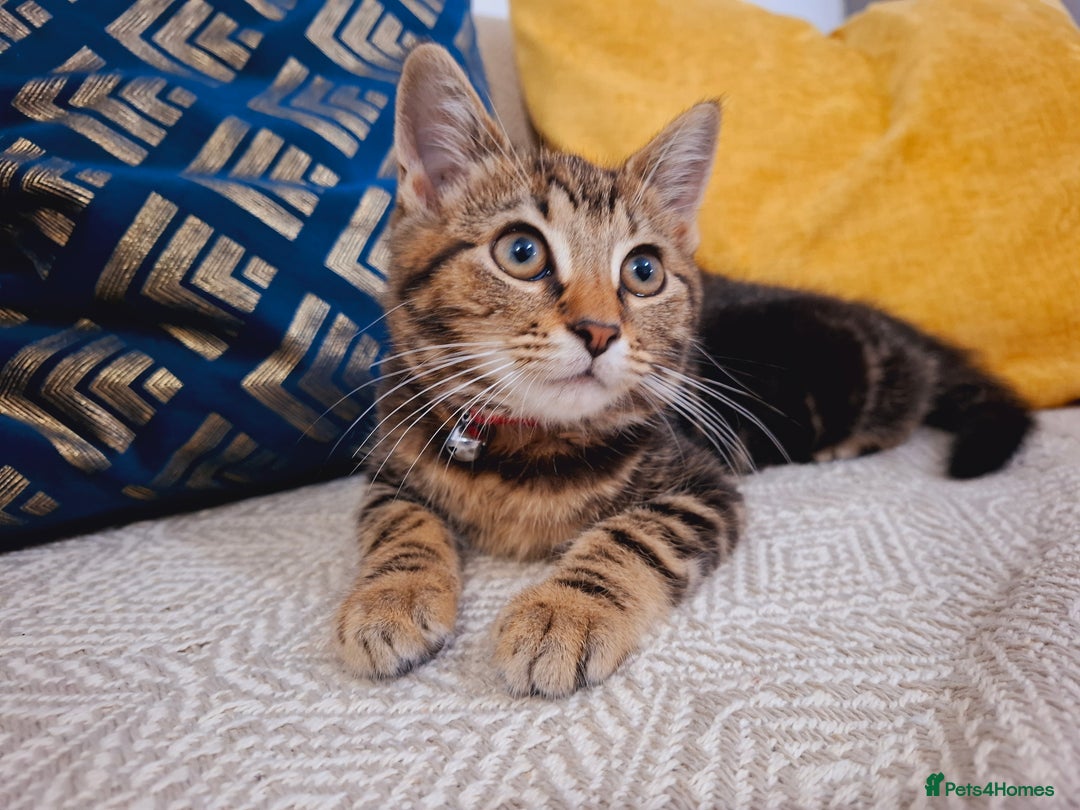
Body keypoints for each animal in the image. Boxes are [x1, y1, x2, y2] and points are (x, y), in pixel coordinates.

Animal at [333, 44, 1032, 698]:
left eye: (643, 271)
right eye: (521, 251)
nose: (600, 330)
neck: (523, 451)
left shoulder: (704, 484)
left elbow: (635, 533)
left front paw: (564, 613)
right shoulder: (390, 466)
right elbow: (398, 522)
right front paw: (389, 599)